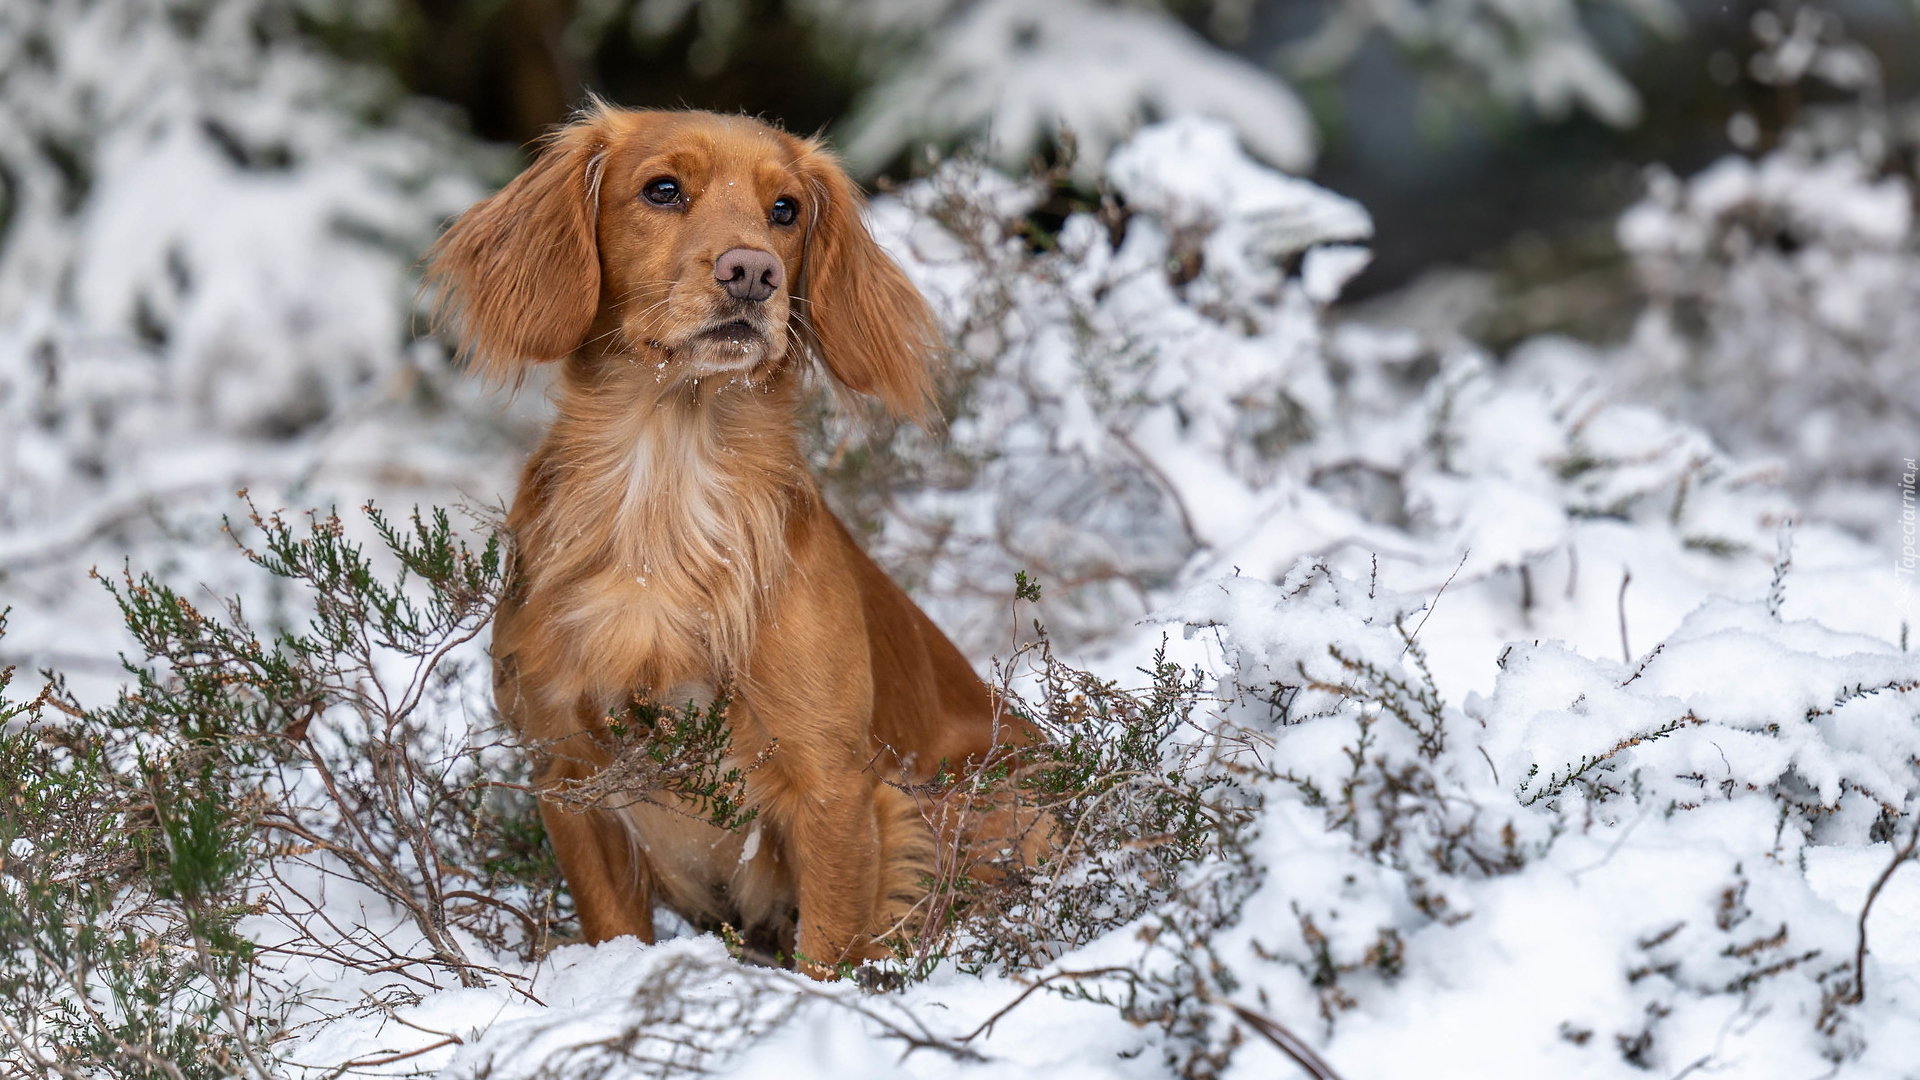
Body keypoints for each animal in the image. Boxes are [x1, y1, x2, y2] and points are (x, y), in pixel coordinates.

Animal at [428, 105, 1013, 972]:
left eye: (786, 210)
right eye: (663, 189)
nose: (752, 272)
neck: (667, 489)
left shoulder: (834, 786)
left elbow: (828, 956)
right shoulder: (567, 772)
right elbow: (615, 929)